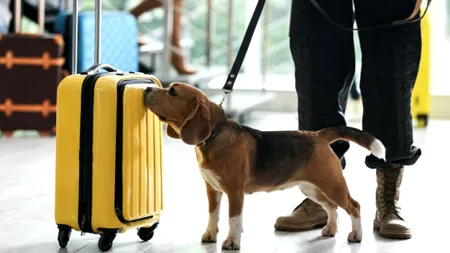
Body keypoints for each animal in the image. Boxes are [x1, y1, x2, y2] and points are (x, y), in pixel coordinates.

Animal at [144, 82, 384, 249]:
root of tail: (318, 135)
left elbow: (233, 219)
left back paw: (356, 235)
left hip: (332, 184)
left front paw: (232, 242)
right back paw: (331, 229)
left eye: (172, 92)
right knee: (332, 207)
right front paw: (210, 235)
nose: (147, 88)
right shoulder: (212, 189)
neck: (215, 136)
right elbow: (213, 214)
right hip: (312, 188)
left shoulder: (234, 192)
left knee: (354, 206)